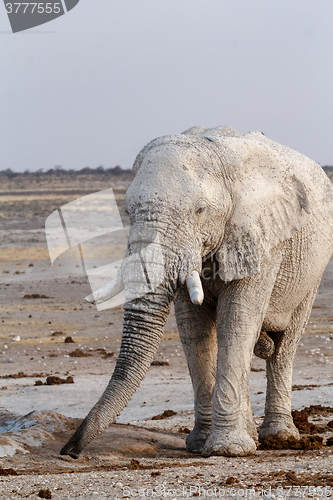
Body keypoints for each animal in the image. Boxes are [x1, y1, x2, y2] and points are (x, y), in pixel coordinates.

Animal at [59, 125, 332, 458]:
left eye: (199, 210)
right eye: (126, 210)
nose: (69, 451)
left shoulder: (262, 238)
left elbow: (237, 322)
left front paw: (227, 450)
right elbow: (194, 329)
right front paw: (201, 445)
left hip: (313, 270)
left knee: (284, 346)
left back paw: (280, 438)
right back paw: (252, 437)